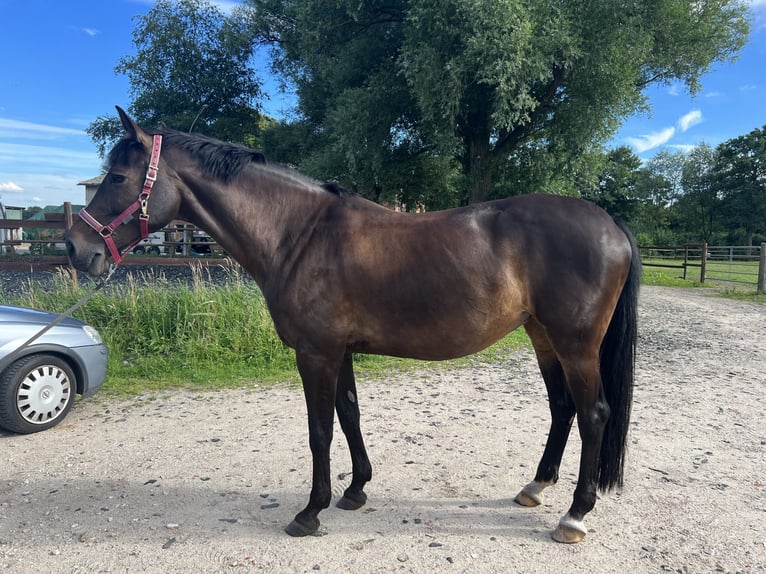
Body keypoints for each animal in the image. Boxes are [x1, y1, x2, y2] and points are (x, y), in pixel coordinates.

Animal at [66, 107, 640, 544]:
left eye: (118, 177)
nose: (76, 247)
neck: (298, 233)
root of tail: (610, 223)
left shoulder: (315, 352)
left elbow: (320, 429)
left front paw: (309, 511)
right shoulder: (339, 350)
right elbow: (349, 416)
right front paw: (356, 490)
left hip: (575, 345)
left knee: (594, 414)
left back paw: (574, 515)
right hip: (543, 337)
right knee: (563, 407)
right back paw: (535, 489)